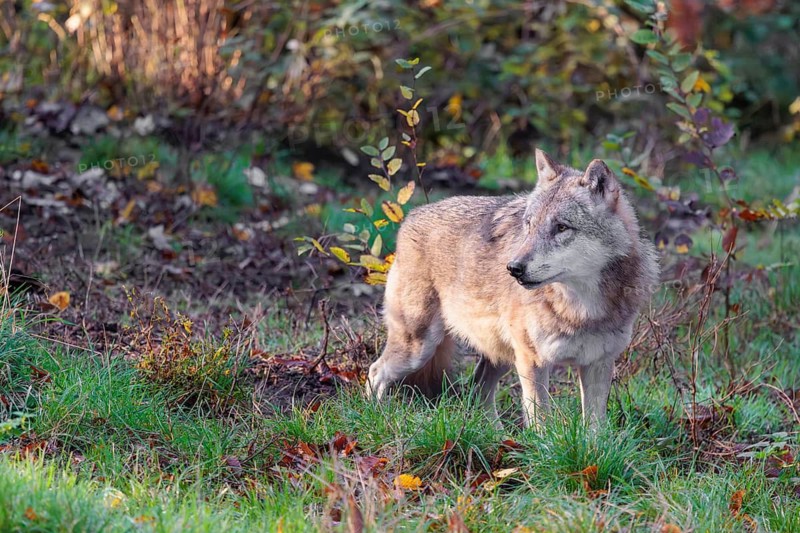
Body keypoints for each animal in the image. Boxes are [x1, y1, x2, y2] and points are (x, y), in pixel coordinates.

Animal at [366, 149, 659, 427]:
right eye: (529, 225)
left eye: (561, 227)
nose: (513, 268)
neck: (582, 309)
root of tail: (412, 215)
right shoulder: (534, 361)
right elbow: (541, 422)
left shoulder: (599, 364)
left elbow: (595, 430)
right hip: (418, 347)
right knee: (375, 372)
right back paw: (379, 418)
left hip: (500, 356)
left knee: (478, 389)